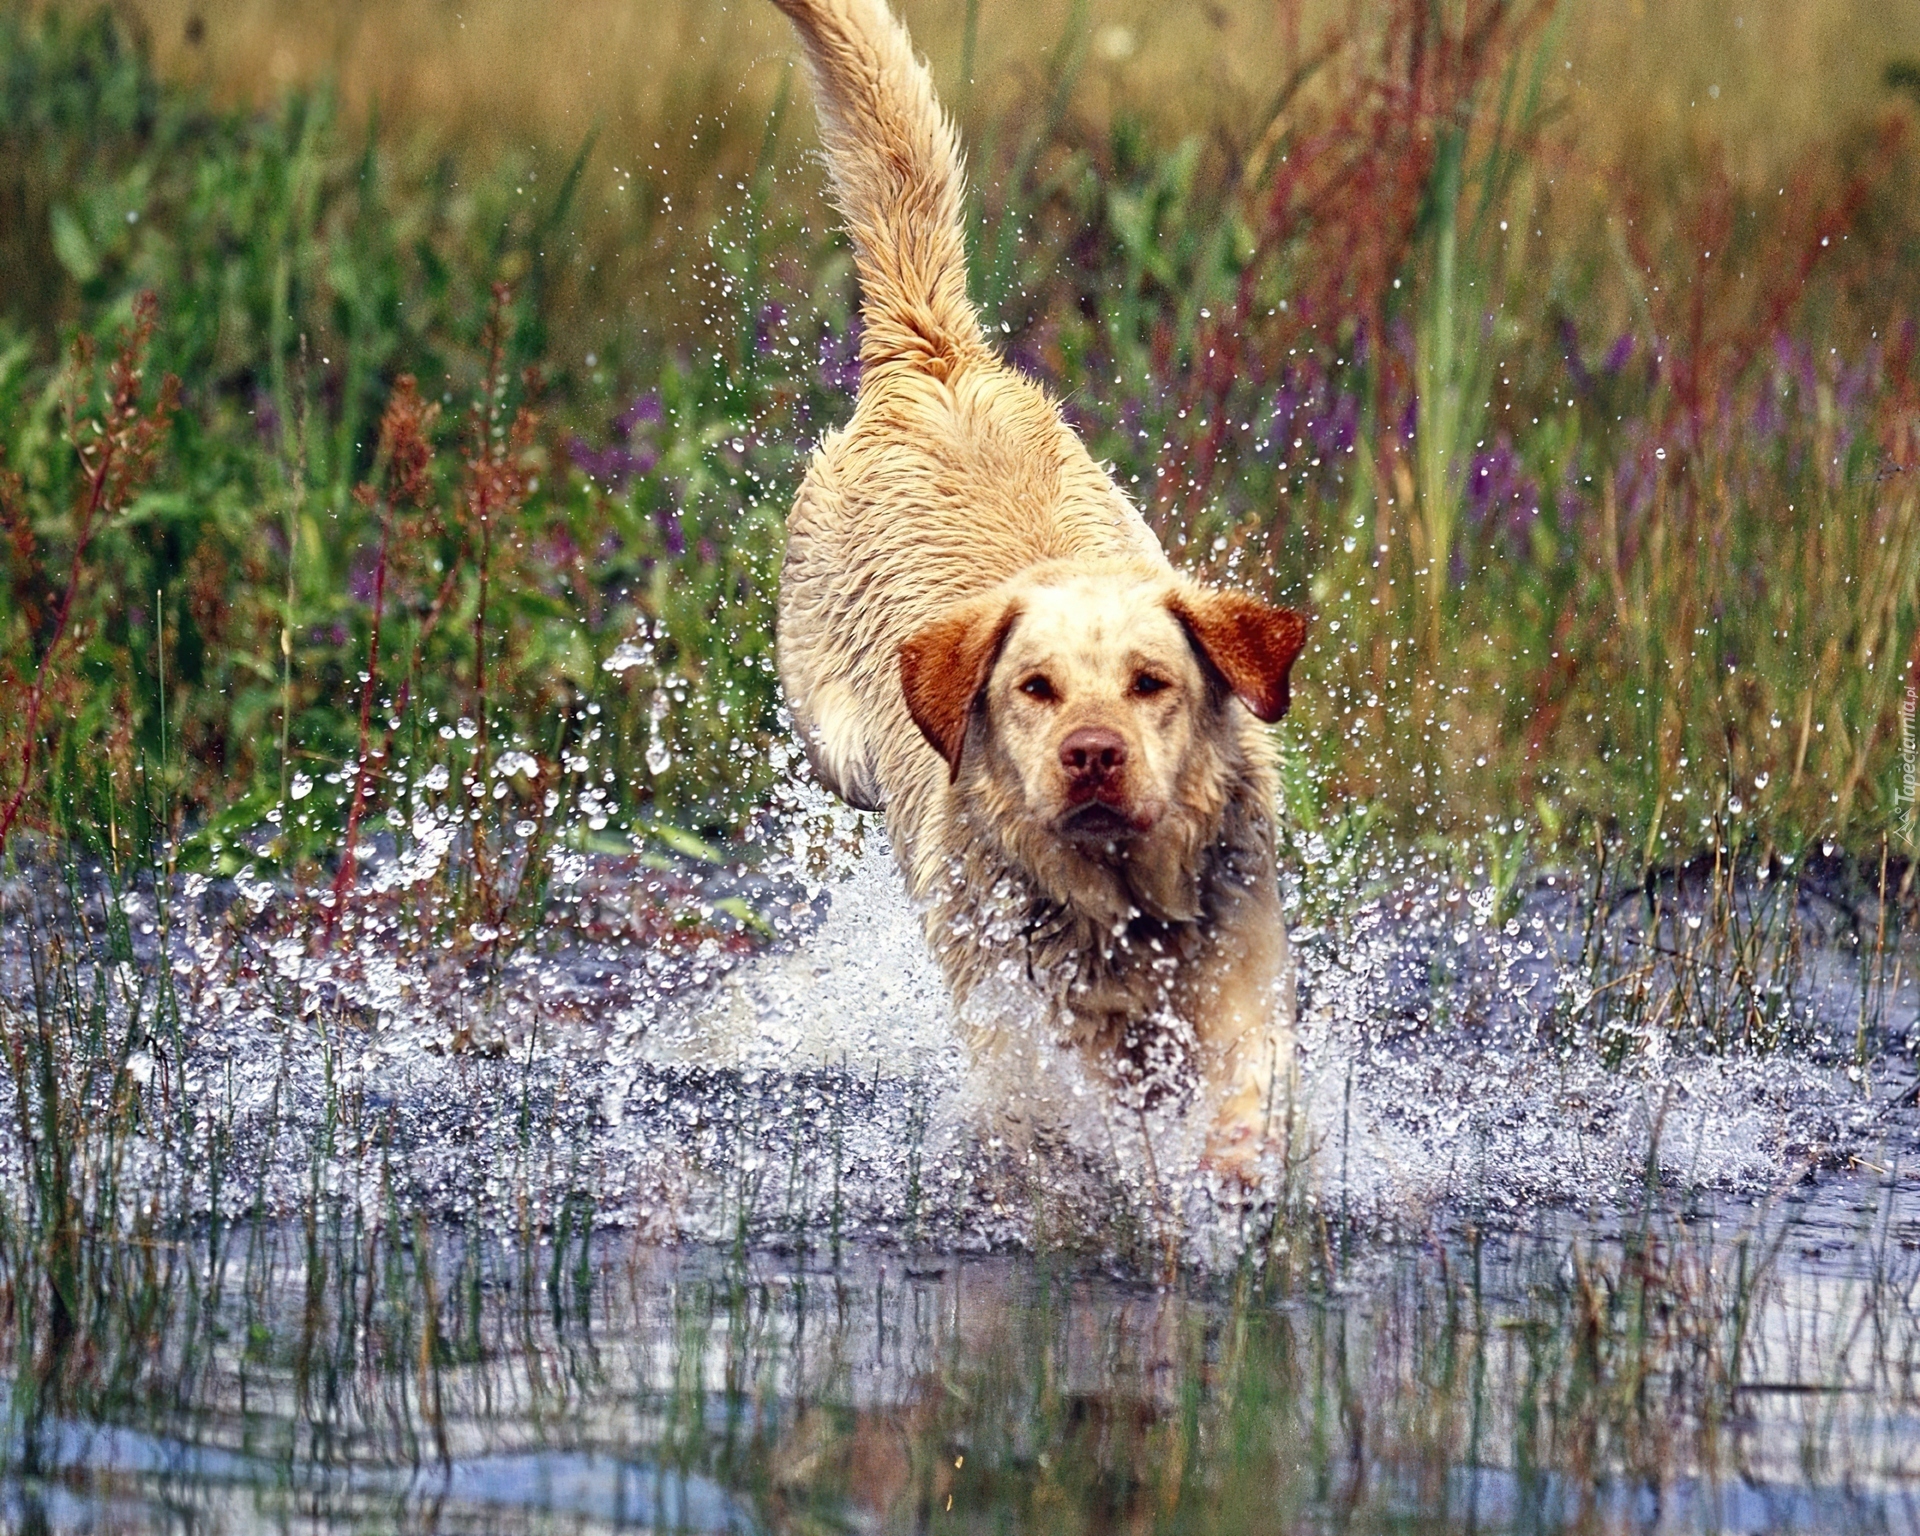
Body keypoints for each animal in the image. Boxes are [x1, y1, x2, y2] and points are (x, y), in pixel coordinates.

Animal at [764, 0, 1305, 1167]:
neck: (1121, 905)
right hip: (831, 732)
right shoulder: (1018, 1024)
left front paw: (1233, 1169)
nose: (1091, 756)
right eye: (1034, 689)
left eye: (1152, 683)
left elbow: (1247, 1083)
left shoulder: (1242, 961)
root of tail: (937, 360)